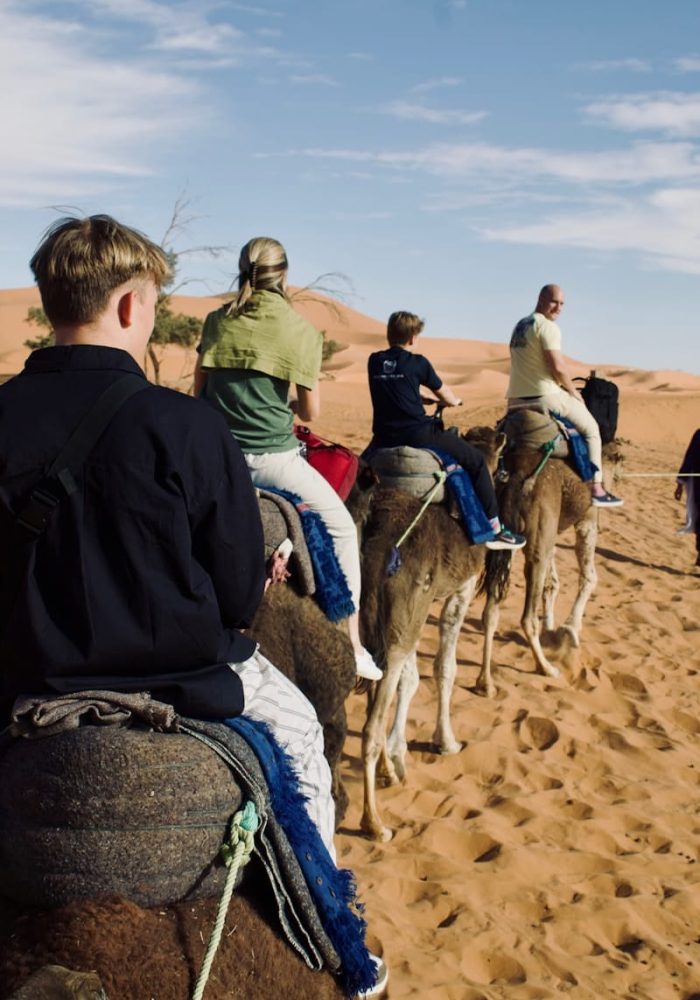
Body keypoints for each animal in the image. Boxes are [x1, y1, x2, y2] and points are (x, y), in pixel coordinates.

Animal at [350, 426, 506, 842]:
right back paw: (375, 823)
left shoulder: (405, 617)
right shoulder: (459, 591)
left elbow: (410, 681)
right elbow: (444, 669)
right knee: (369, 727)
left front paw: (397, 763)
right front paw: (446, 741)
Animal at [477, 439, 598, 698]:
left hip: (508, 535)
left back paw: (486, 683)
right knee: (527, 617)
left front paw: (551, 628)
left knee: (490, 611)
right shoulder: (588, 516)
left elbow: (552, 583)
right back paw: (546, 667)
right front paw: (569, 630)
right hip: (539, 532)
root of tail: (513, 477)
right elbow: (589, 577)